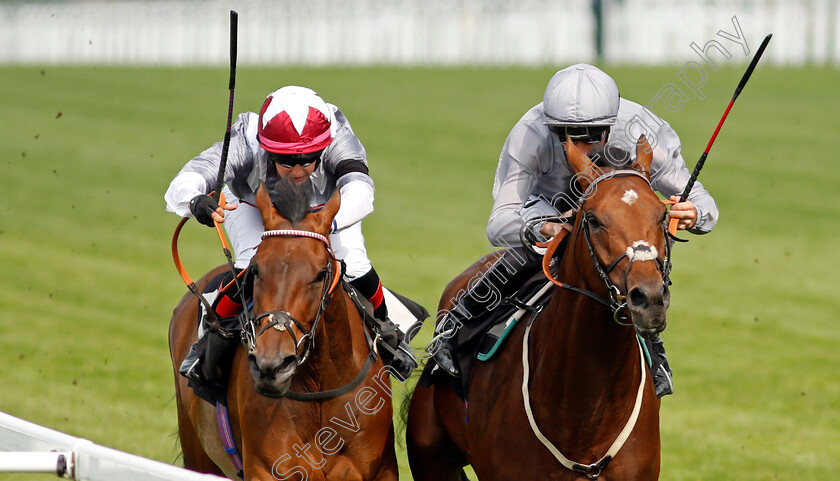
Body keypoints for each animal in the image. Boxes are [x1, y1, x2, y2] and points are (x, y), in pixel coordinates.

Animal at [171, 180, 400, 480]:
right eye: (255, 270)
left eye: (320, 273)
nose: (272, 366)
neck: (320, 388)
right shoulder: (268, 468)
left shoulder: (379, 469)